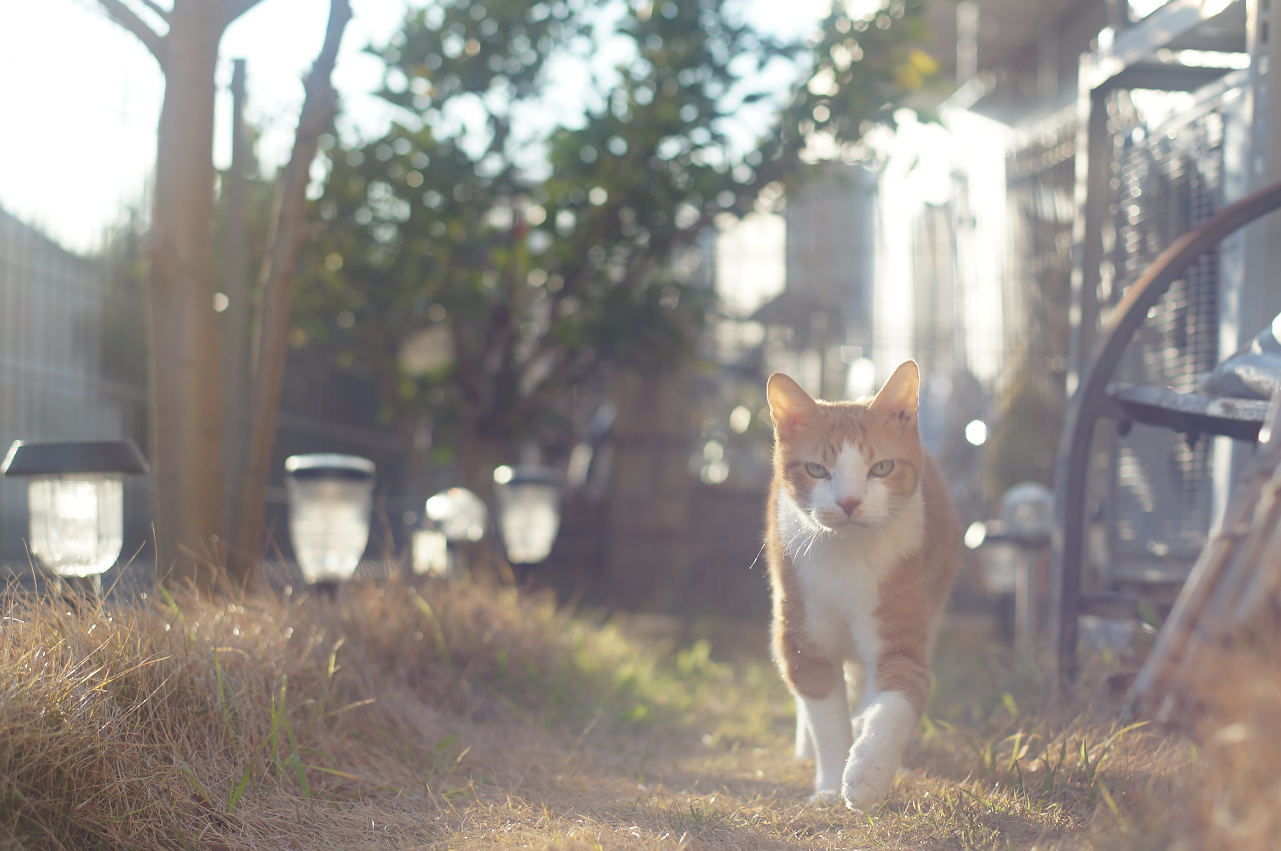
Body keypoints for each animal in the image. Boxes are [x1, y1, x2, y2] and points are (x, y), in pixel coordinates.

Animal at [763, 361, 958, 809]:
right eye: (817, 469)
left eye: (881, 467)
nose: (849, 502)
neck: (847, 561)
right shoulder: (804, 643)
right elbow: (826, 717)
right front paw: (829, 787)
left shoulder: (899, 638)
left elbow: (894, 702)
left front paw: (867, 773)